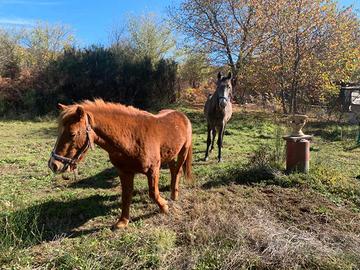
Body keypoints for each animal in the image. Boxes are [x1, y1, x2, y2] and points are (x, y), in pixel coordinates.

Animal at [50, 100, 194, 229]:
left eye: (72, 134)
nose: (53, 164)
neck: (132, 138)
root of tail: (182, 115)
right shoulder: (124, 172)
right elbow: (126, 195)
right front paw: (123, 222)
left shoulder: (153, 170)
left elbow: (153, 193)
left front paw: (164, 207)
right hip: (170, 154)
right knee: (173, 170)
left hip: (183, 151)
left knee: (177, 171)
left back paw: (174, 195)